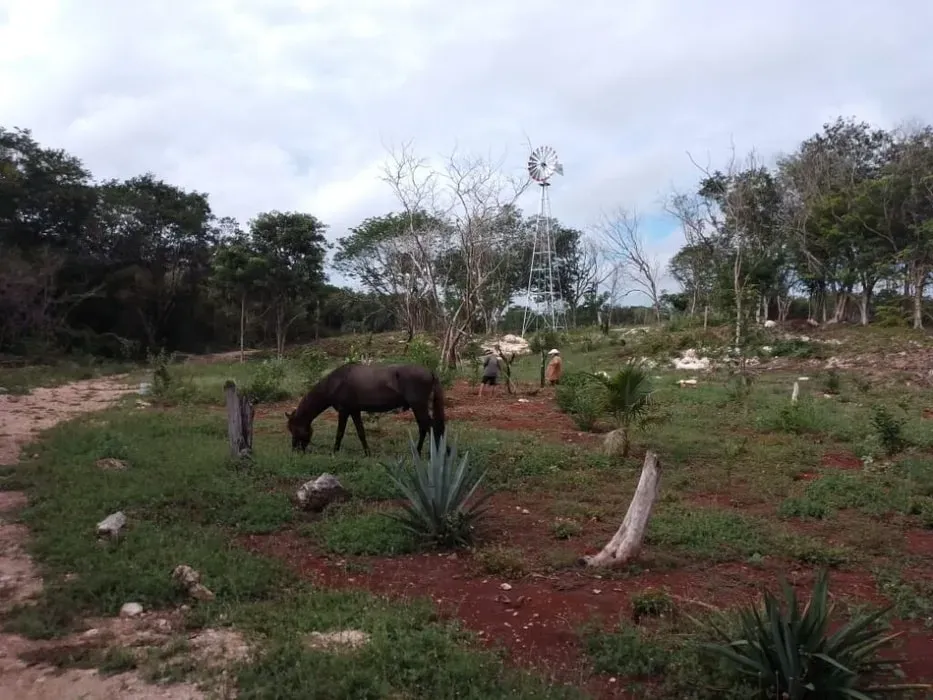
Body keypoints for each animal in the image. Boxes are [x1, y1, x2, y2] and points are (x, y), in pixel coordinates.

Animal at [286, 362, 446, 457]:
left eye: (294, 428)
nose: (295, 450)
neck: (336, 381)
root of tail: (430, 372)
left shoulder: (344, 411)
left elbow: (340, 433)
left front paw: (334, 451)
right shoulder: (354, 411)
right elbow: (361, 433)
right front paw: (367, 453)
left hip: (418, 406)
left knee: (429, 427)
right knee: (425, 427)